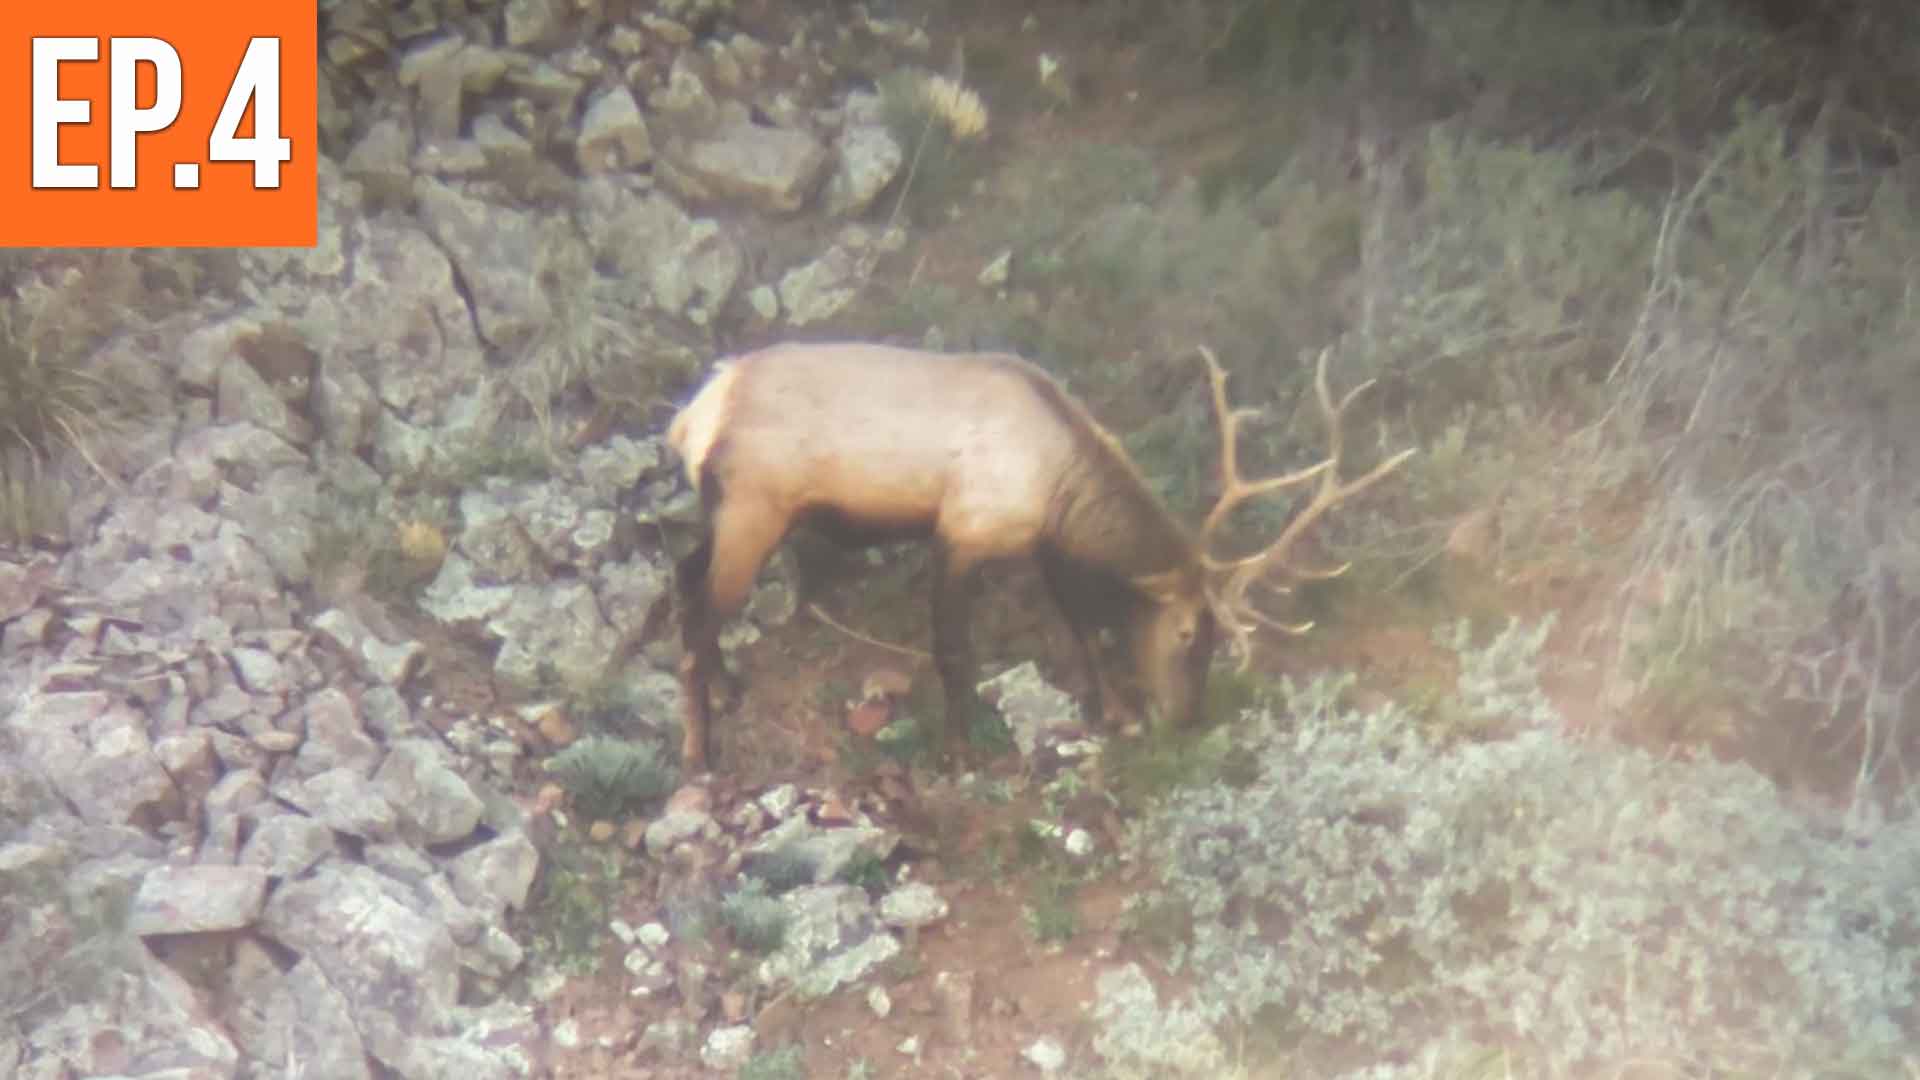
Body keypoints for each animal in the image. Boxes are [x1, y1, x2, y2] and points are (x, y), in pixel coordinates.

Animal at [658, 340, 1414, 773]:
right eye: (1187, 632)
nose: (1185, 718)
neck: (1058, 486)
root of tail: (689, 420)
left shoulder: (1043, 548)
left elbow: (1081, 626)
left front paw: (1115, 711)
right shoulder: (962, 531)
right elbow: (953, 652)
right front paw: (960, 753)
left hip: (729, 515)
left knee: (684, 578)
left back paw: (727, 690)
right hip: (755, 509)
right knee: (694, 623)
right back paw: (699, 756)